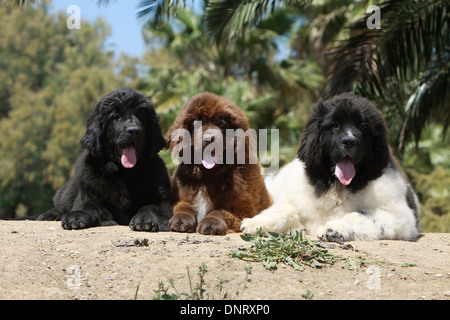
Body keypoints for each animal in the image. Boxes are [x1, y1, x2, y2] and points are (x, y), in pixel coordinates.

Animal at [165, 92, 270, 235]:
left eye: (222, 125)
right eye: (197, 125)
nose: (210, 139)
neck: (207, 176)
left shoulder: (243, 210)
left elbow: (220, 211)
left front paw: (211, 224)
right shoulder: (181, 196)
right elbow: (184, 205)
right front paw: (181, 219)